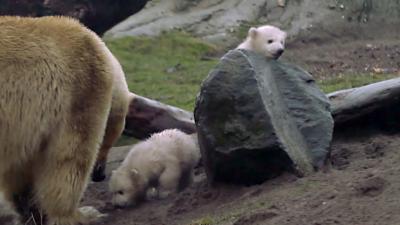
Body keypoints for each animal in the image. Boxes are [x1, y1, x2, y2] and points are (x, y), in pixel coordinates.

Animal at [0, 16, 130, 225]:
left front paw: (32, 211)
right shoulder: (81, 89)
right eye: (109, 138)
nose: (100, 175)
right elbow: (69, 158)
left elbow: (21, 169)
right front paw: (83, 214)